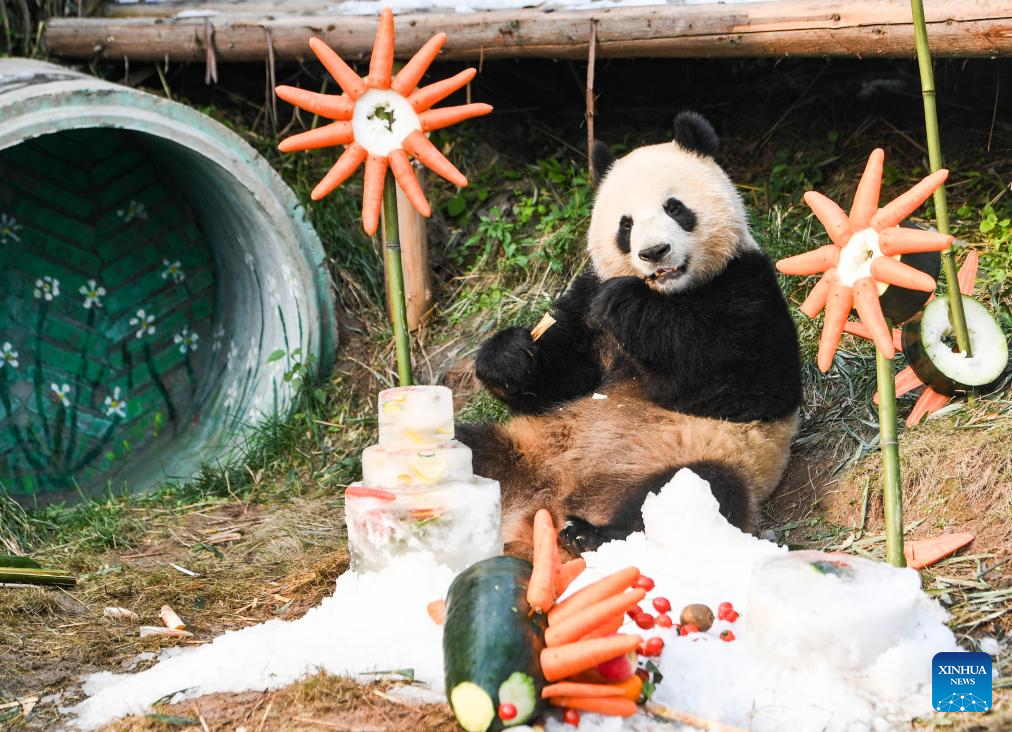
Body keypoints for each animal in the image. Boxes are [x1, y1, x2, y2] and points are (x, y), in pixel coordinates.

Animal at [457, 111, 797, 558]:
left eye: (675, 207)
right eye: (626, 224)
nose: (654, 252)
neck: (670, 293)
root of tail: (541, 510)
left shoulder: (746, 285)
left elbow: (742, 381)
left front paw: (625, 303)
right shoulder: (585, 297)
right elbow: (562, 379)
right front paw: (509, 355)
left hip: (692, 459)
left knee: (700, 494)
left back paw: (592, 534)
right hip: (524, 447)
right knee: (462, 447)